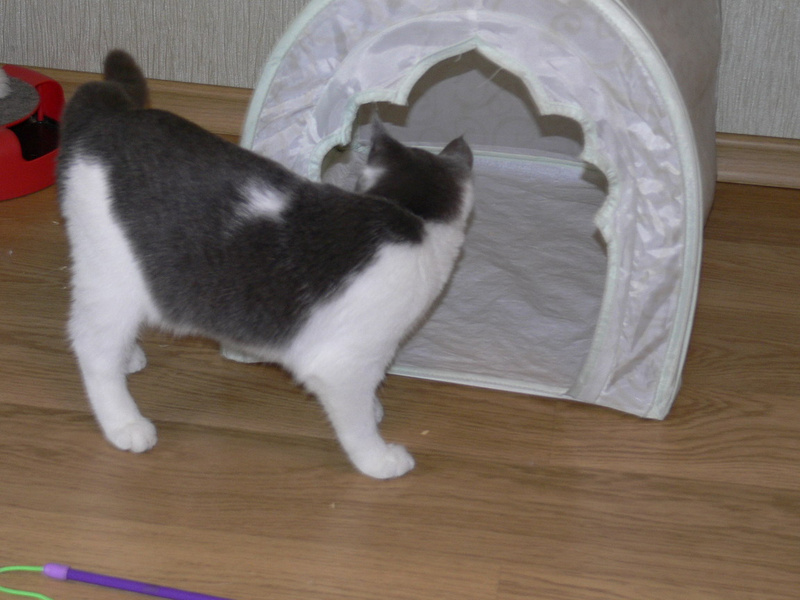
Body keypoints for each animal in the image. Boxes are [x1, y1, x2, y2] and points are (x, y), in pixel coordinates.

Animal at [58, 50, 474, 479]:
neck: (412, 214)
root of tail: (109, 114)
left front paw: (375, 409)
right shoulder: (344, 362)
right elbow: (356, 422)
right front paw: (379, 458)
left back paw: (129, 356)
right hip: (108, 274)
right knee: (91, 345)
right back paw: (124, 423)